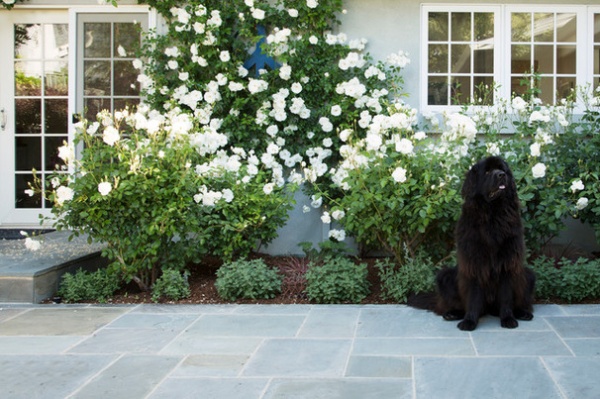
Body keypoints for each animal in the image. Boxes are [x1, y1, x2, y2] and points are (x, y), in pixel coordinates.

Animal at [434, 156, 536, 332]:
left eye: (502, 169)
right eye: (487, 171)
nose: (501, 175)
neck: (492, 213)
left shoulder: (508, 263)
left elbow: (506, 296)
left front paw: (508, 319)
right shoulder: (474, 262)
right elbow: (473, 296)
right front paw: (469, 321)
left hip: (528, 275)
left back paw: (522, 312)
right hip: (445, 276)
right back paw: (452, 313)